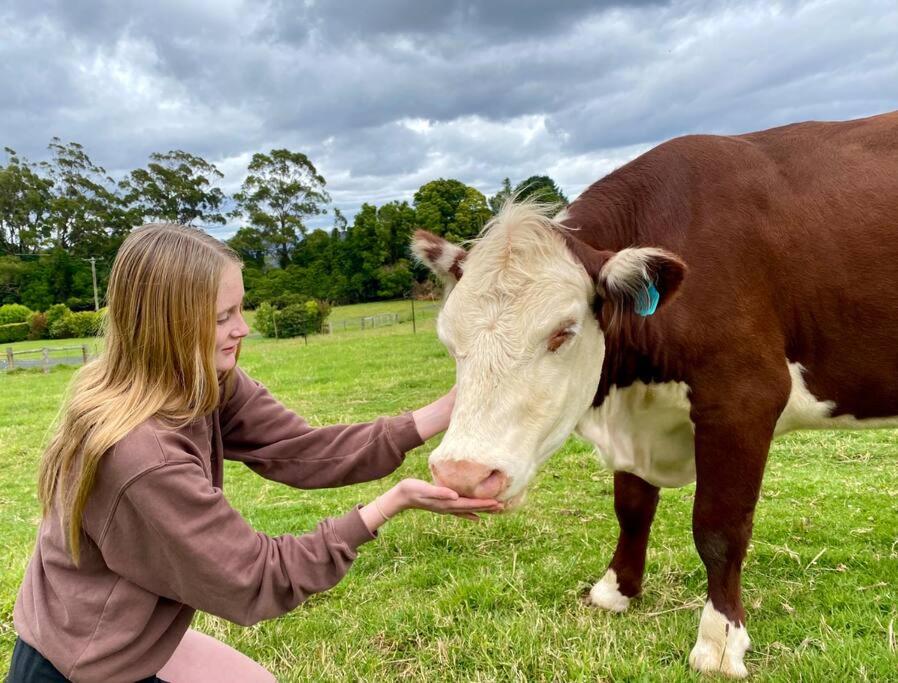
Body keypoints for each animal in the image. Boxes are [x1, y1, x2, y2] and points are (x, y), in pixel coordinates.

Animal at [412, 112, 896, 680]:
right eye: (449, 340)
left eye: (563, 332)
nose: (462, 475)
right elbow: (632, 506)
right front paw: (616, 590)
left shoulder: (743, 399)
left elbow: (718, 528)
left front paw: (720, 641)